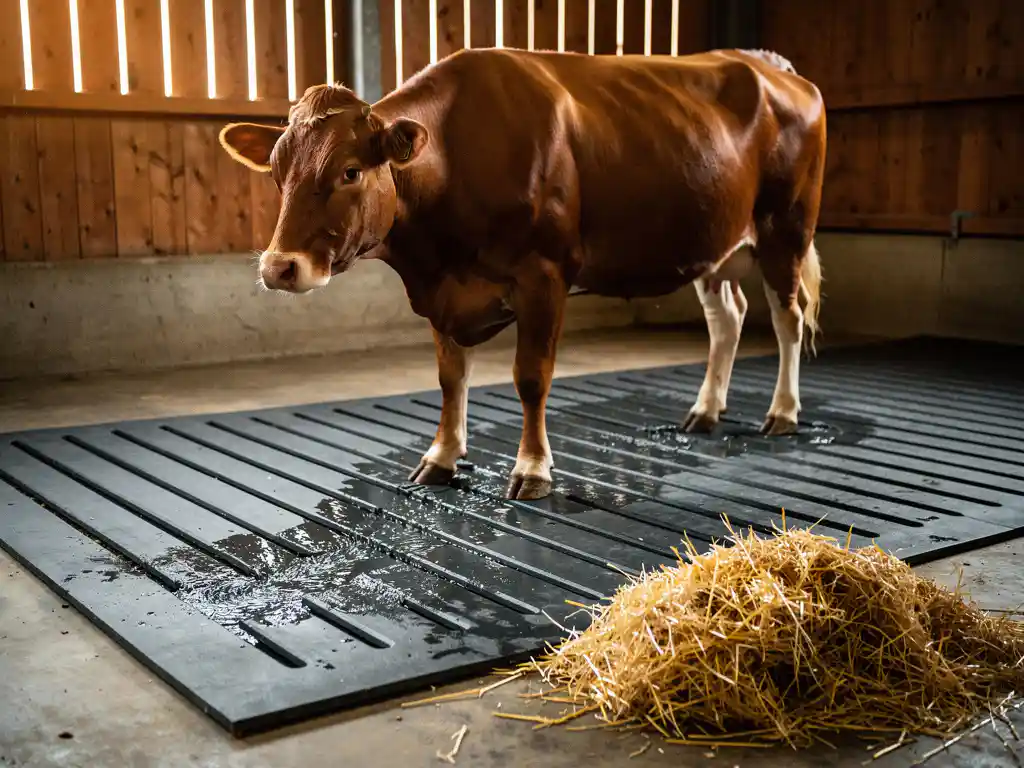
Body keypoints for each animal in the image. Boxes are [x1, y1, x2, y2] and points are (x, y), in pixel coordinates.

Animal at [218, 46, 825, 502]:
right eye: (276, 172)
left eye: (349, 171)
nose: (279, 267)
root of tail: (768, 64)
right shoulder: (443, 289)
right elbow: (450, 378)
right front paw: (441, 457)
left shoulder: (543, 275)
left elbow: (531, 377)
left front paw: (532, 469)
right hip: (713, 247)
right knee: (728, 319)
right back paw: (705, 411)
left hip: (786, 230)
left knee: (787, 319)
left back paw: (783, 412)